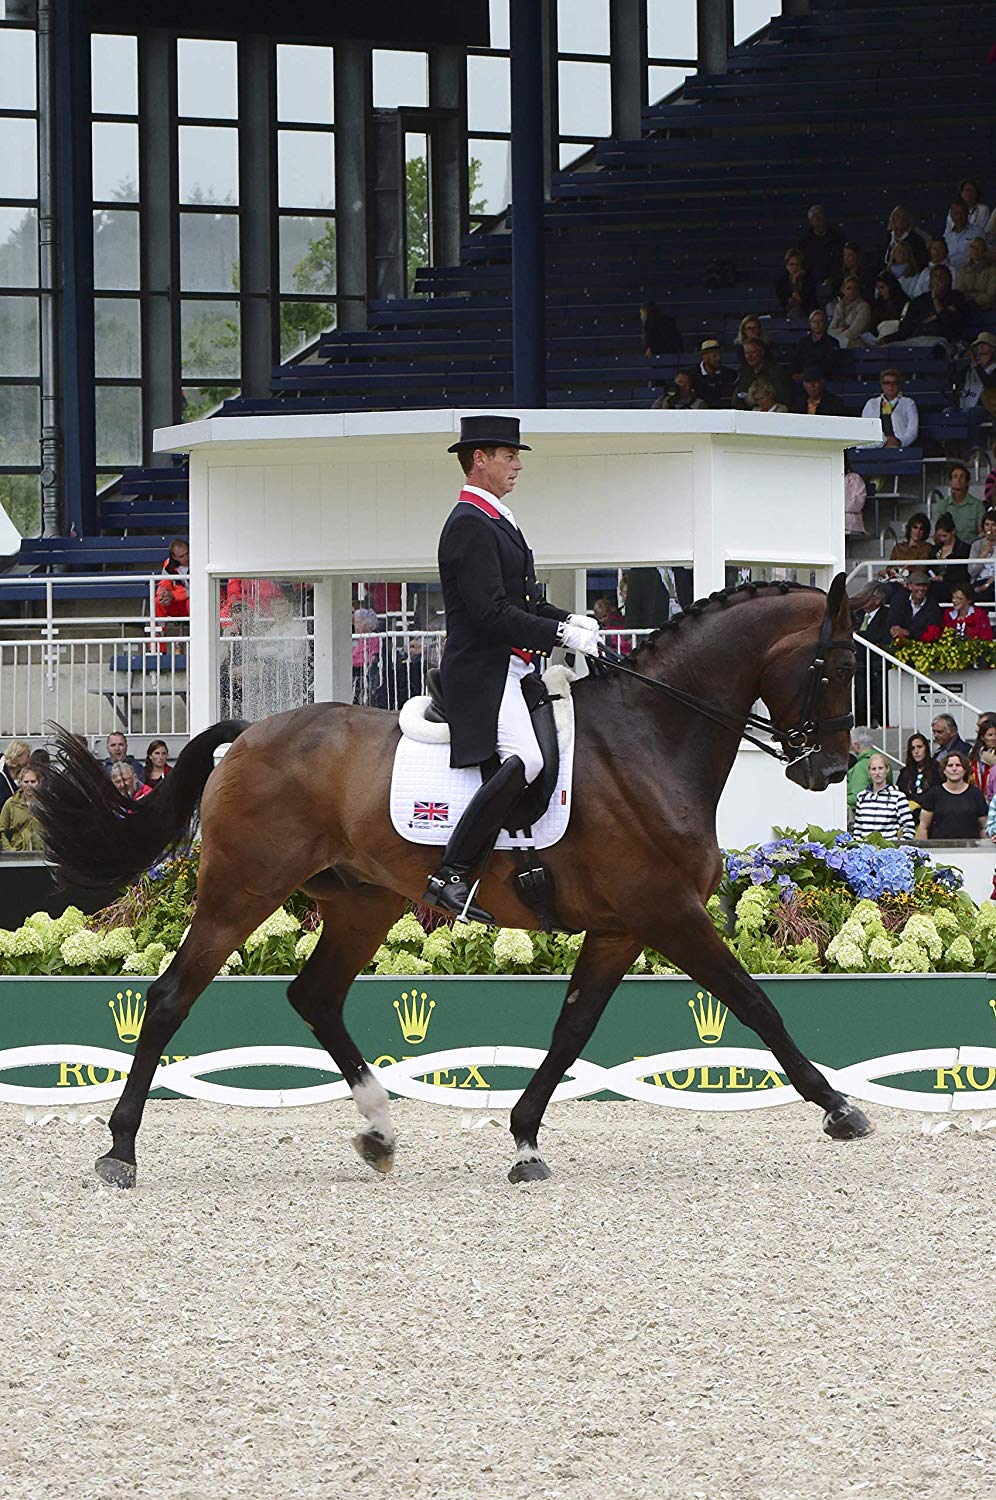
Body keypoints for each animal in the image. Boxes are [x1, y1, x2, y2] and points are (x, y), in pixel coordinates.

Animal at [35, 574, 872, 1190]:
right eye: (836, 668)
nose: (829, 771)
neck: (649, 736)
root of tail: (250, 734)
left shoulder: (620, 927)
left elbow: (572, 1030)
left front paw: (525, 1140)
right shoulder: (666, 912)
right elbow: (756, 1003)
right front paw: (838, 1109)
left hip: (361, 902)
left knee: (316, 997)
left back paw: (378, 1132)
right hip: (242, 890)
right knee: (171, 996)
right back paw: (119, 1151)